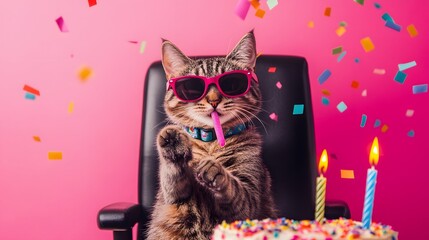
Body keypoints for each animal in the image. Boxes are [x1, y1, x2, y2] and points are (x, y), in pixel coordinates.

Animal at [146, 31, 274, 239]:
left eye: (231, 84)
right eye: (191, 88)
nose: (213, 100)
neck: (210, 142)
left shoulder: (250, 199)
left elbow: (236, 190)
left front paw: (214, 170)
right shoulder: (173, 196)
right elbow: (171, 178)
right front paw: (173, 143)